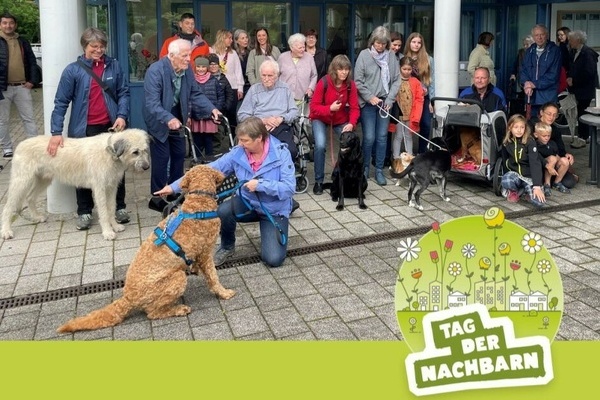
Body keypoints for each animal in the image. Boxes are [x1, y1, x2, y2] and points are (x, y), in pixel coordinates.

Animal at [1, 130, 151, 239]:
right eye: (135, 152)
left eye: (145, 150)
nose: (146, 167)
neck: (110, 152)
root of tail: (21, 144)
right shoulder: (100, 188)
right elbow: (103, 211)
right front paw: (107, 232)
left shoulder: (112, 187)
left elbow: (111, 207)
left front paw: (114, 226)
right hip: (21, 181)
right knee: (8, 207)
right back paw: (6, 231)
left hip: (43, 179)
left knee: (30, 197)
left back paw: (37, 217)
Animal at [56, 164, 234, 332]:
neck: (198, 203)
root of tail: (128, 298)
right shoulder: (206, 252)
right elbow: (213, 277)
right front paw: (224, 293)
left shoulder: (200, 252)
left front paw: (195, 268)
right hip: (177, 278)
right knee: (153, 312)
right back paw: (178, 309)